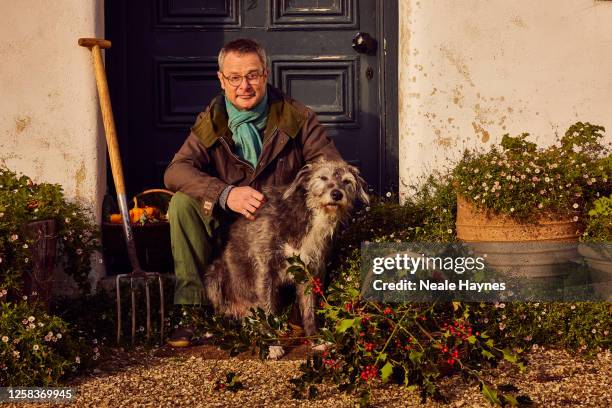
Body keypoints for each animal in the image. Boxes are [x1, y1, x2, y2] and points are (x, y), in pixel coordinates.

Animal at [204, 159, 368, 338]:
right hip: (214, 277)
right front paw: (271, 339)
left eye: (347, 181)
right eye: (323, 177)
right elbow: (267, 307)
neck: (308, 211)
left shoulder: (310, 269)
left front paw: (314, 336)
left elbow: (309, 308)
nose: (337, 194)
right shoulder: (264, 266)